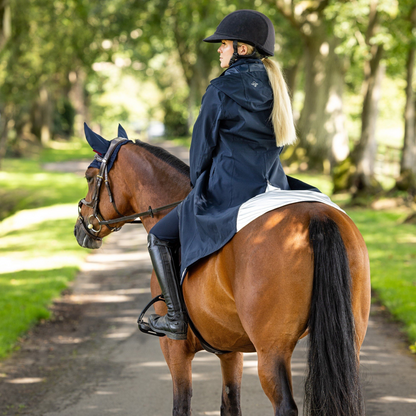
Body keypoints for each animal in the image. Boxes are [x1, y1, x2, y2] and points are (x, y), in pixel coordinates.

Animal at [74, 134, 370, 416]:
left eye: (89, 177)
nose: (81, 226)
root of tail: (315, 215)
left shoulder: (174, 348)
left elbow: (181, 406)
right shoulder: (230, 350)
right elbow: (230, 405)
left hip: (272, 350)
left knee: (285, 406)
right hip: (349, 340)